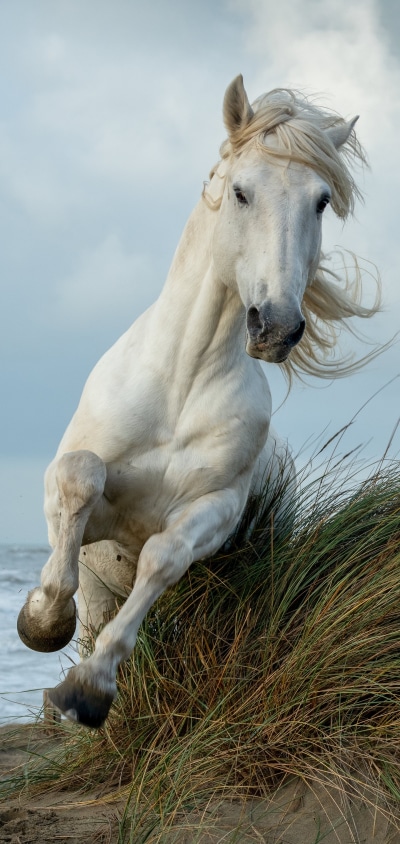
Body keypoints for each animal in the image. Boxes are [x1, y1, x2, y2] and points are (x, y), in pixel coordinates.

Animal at [17, 75, 379, 729]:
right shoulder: (89, 509)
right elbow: (81, 478)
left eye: (319, 201)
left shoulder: (212, 511)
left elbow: (163, 555)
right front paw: (41, 622)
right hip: (101, 585)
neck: (180, 385)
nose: (276, 326)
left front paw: (88, 690)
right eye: (240, 192)